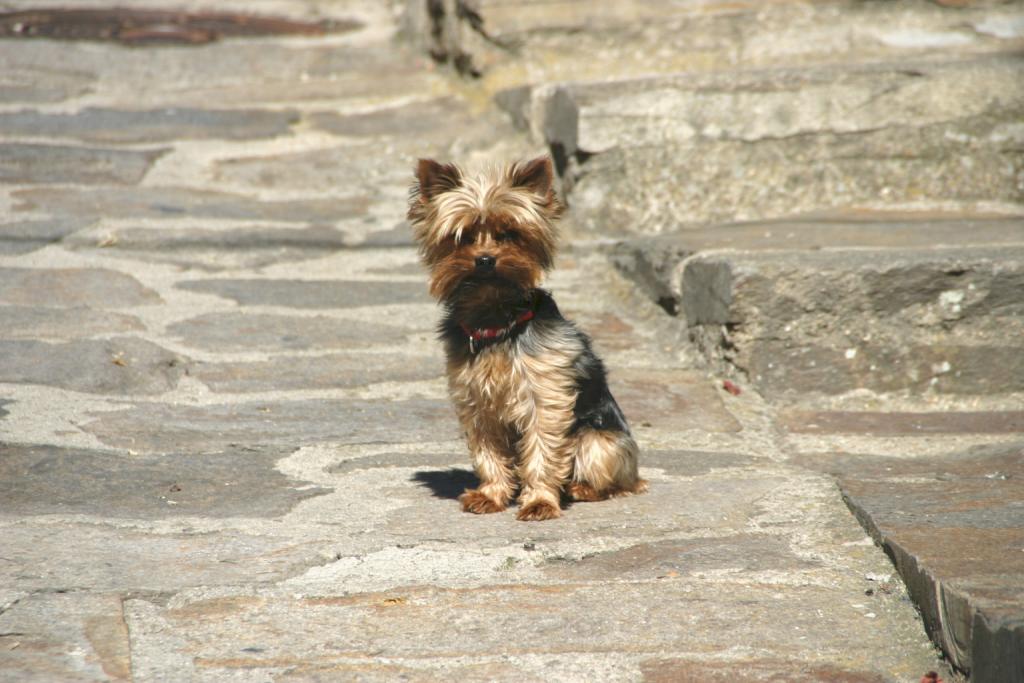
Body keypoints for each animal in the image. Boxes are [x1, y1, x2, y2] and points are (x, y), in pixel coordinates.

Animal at [407, 153, 647, 518]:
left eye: (509, 234)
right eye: (463, 237)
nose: (485, 259)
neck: (496, 322)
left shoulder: (545, 398)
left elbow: (543, 451)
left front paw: (539, 502)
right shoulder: (477, 403)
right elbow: (487, 454)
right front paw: (490, 495)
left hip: (600, 440)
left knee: (614, 480)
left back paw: (580, 489)